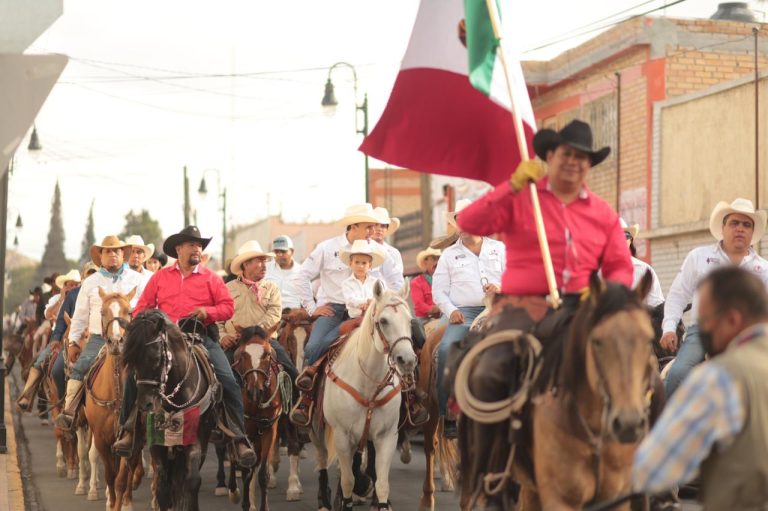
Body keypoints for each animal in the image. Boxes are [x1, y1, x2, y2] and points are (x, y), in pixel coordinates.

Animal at [83, 288, 144, 511]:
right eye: (102, 311)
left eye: (129, 311)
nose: (117, 342)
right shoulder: (101, 438)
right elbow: (110, 475)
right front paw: (110, 502)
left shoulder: (129, 440)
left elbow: (120, 479)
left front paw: (121, 503)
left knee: (131, 467)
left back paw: (127, 500)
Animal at [124, 310, 218, 511]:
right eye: (131, 360)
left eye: (156, 358)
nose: (146, 404)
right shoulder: (156, 442)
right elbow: (162, 484)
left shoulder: (194, 439)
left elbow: (191, 481)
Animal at [310, 280, 416, 511]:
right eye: (383, 321)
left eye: (410, 321)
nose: (407, 360)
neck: (368, 383)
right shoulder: (342, 435)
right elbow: (347, 480)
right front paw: (347, 499)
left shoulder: (386, 436)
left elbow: (382, 483)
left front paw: (379, 501)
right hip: (316, 428)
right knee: (322, 458)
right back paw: (324, 500)